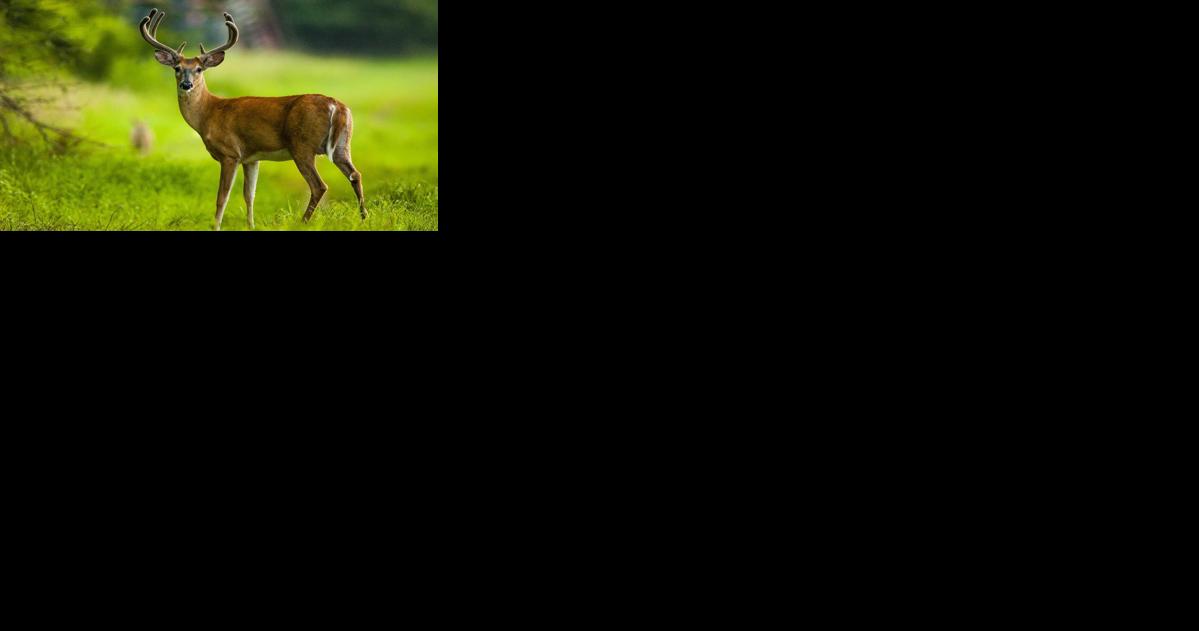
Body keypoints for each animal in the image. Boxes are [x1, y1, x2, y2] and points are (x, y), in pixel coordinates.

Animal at [138, 8, 365, 230]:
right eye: (177, 68)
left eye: (199, 69)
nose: (186, 85)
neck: (209, 113)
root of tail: (336, 105)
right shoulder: (251, 158)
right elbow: (250, 195)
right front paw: (251, 225)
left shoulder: (230, 153)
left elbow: (222, 197)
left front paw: (216, 226)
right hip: (343, 144)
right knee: (355, 174)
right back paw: (364, 217)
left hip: (302, 145)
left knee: (319, 186)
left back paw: (303, 222)